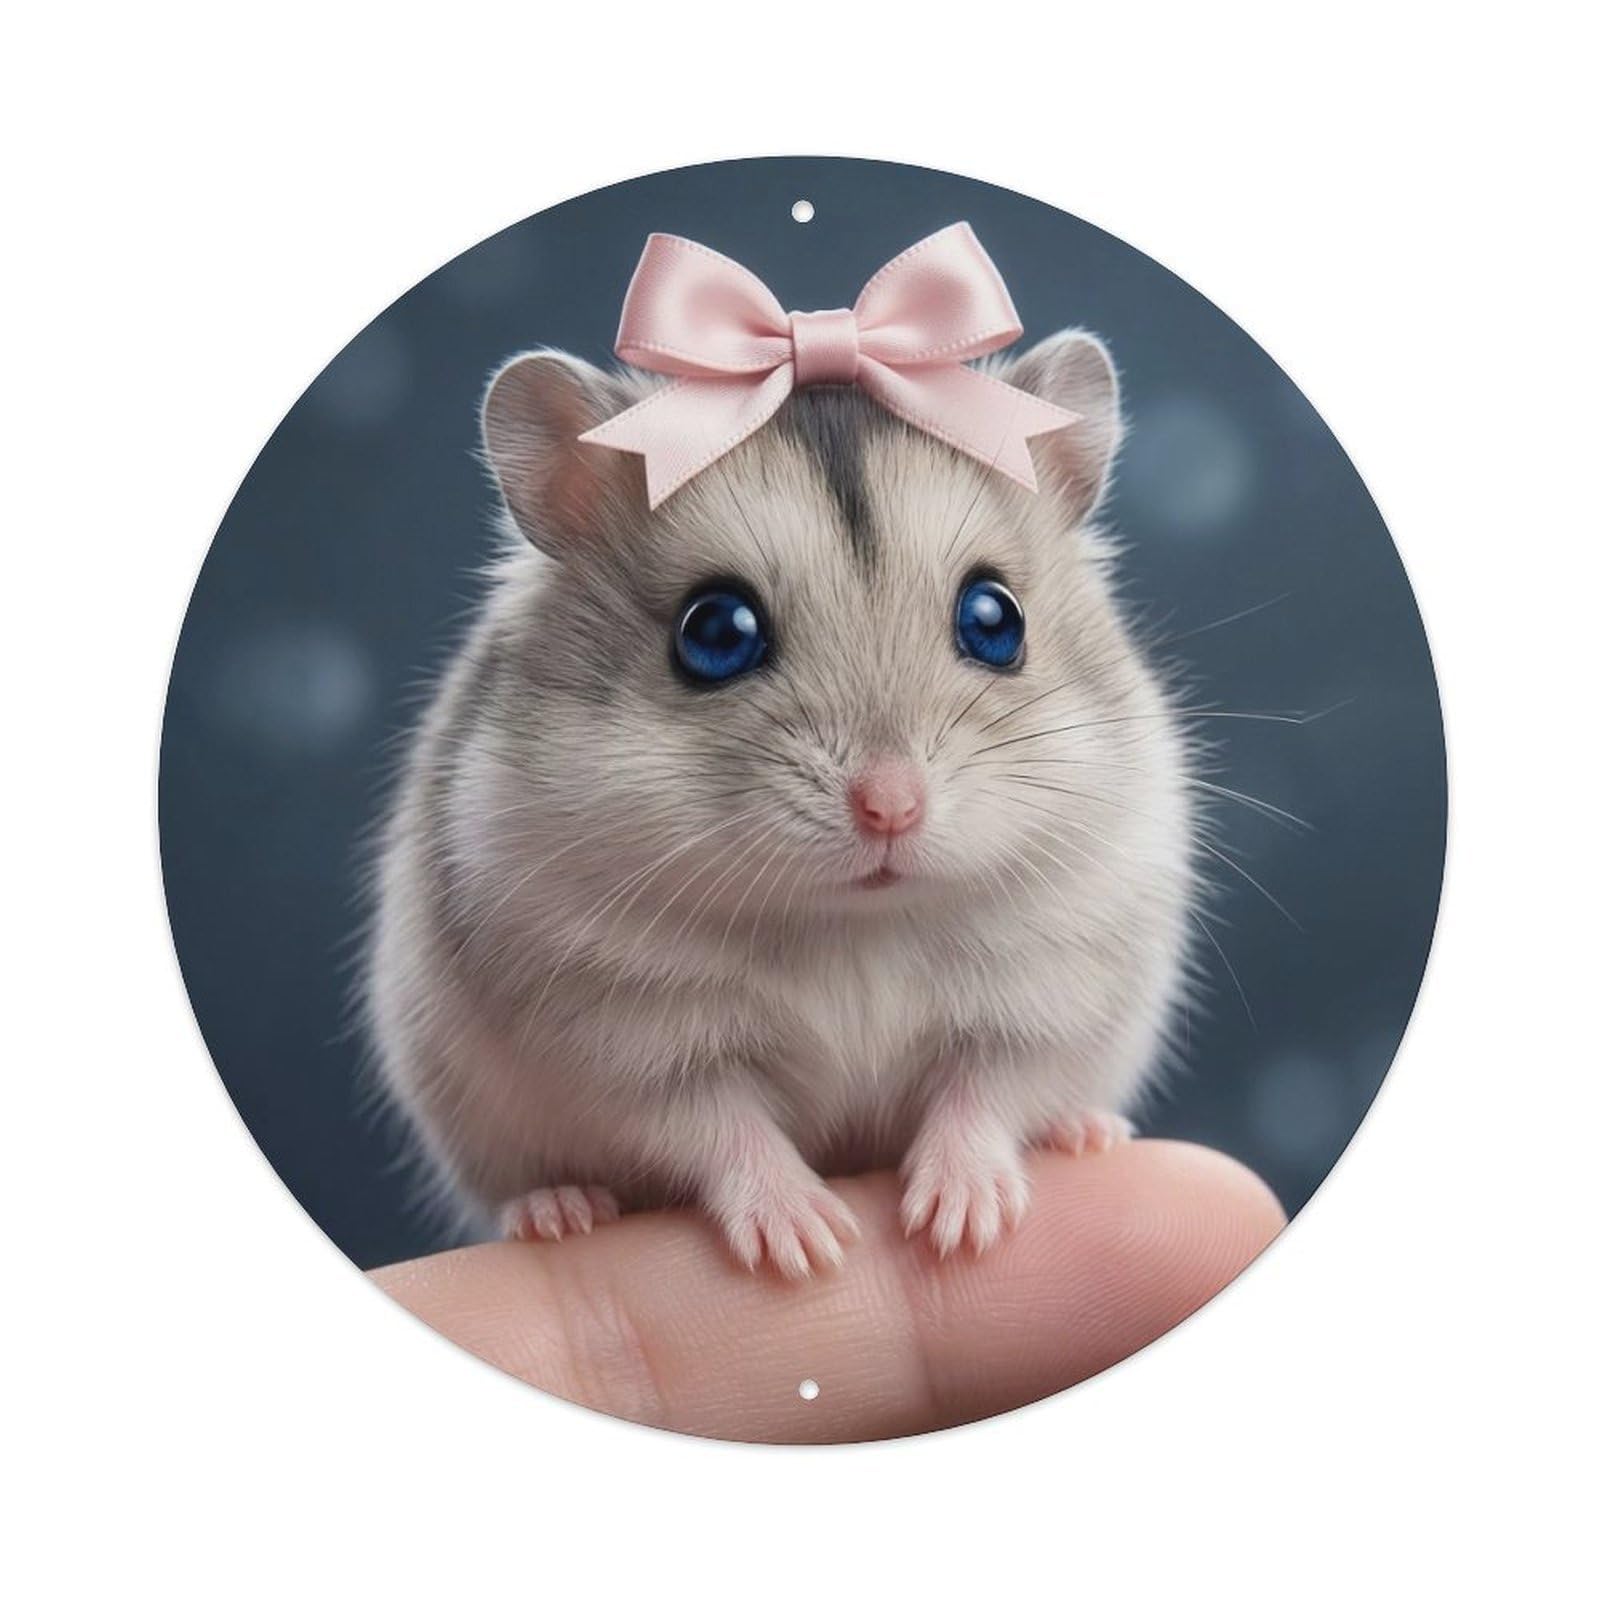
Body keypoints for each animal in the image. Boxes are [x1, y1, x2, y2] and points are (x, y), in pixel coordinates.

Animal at [366, 330, 1195, 1276]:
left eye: (996, 619)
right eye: (714, 632)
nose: (890, 809)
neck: (853, 925)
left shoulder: (1045, 1004)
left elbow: (986, 1095)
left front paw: (960, 1225)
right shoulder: (625, 1049)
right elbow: (720, 1129)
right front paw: (809, 1245)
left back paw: (1090, 1134)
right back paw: (560, 1213)